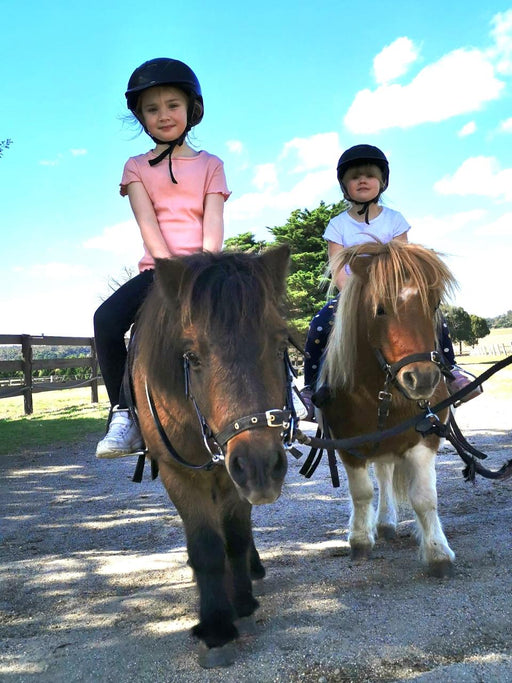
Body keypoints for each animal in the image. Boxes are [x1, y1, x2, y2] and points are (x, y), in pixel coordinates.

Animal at [131, 245, 292, 667]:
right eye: (192, 357)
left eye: (279, 344)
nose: (260, 468)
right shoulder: (181, 475)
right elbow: (206, 546)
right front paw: (216, 626)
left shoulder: (234, 477)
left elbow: (235, 537)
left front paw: (242, 603)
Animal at [318, 239, 458, 578]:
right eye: (380, 309)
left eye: (434, 304)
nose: (422, 378)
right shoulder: (347, 445)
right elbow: (361, 493)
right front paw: (359, 540)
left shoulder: (424, 438)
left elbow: (424, 498)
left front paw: (437, 553)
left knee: (384, 474)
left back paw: (386, 522)